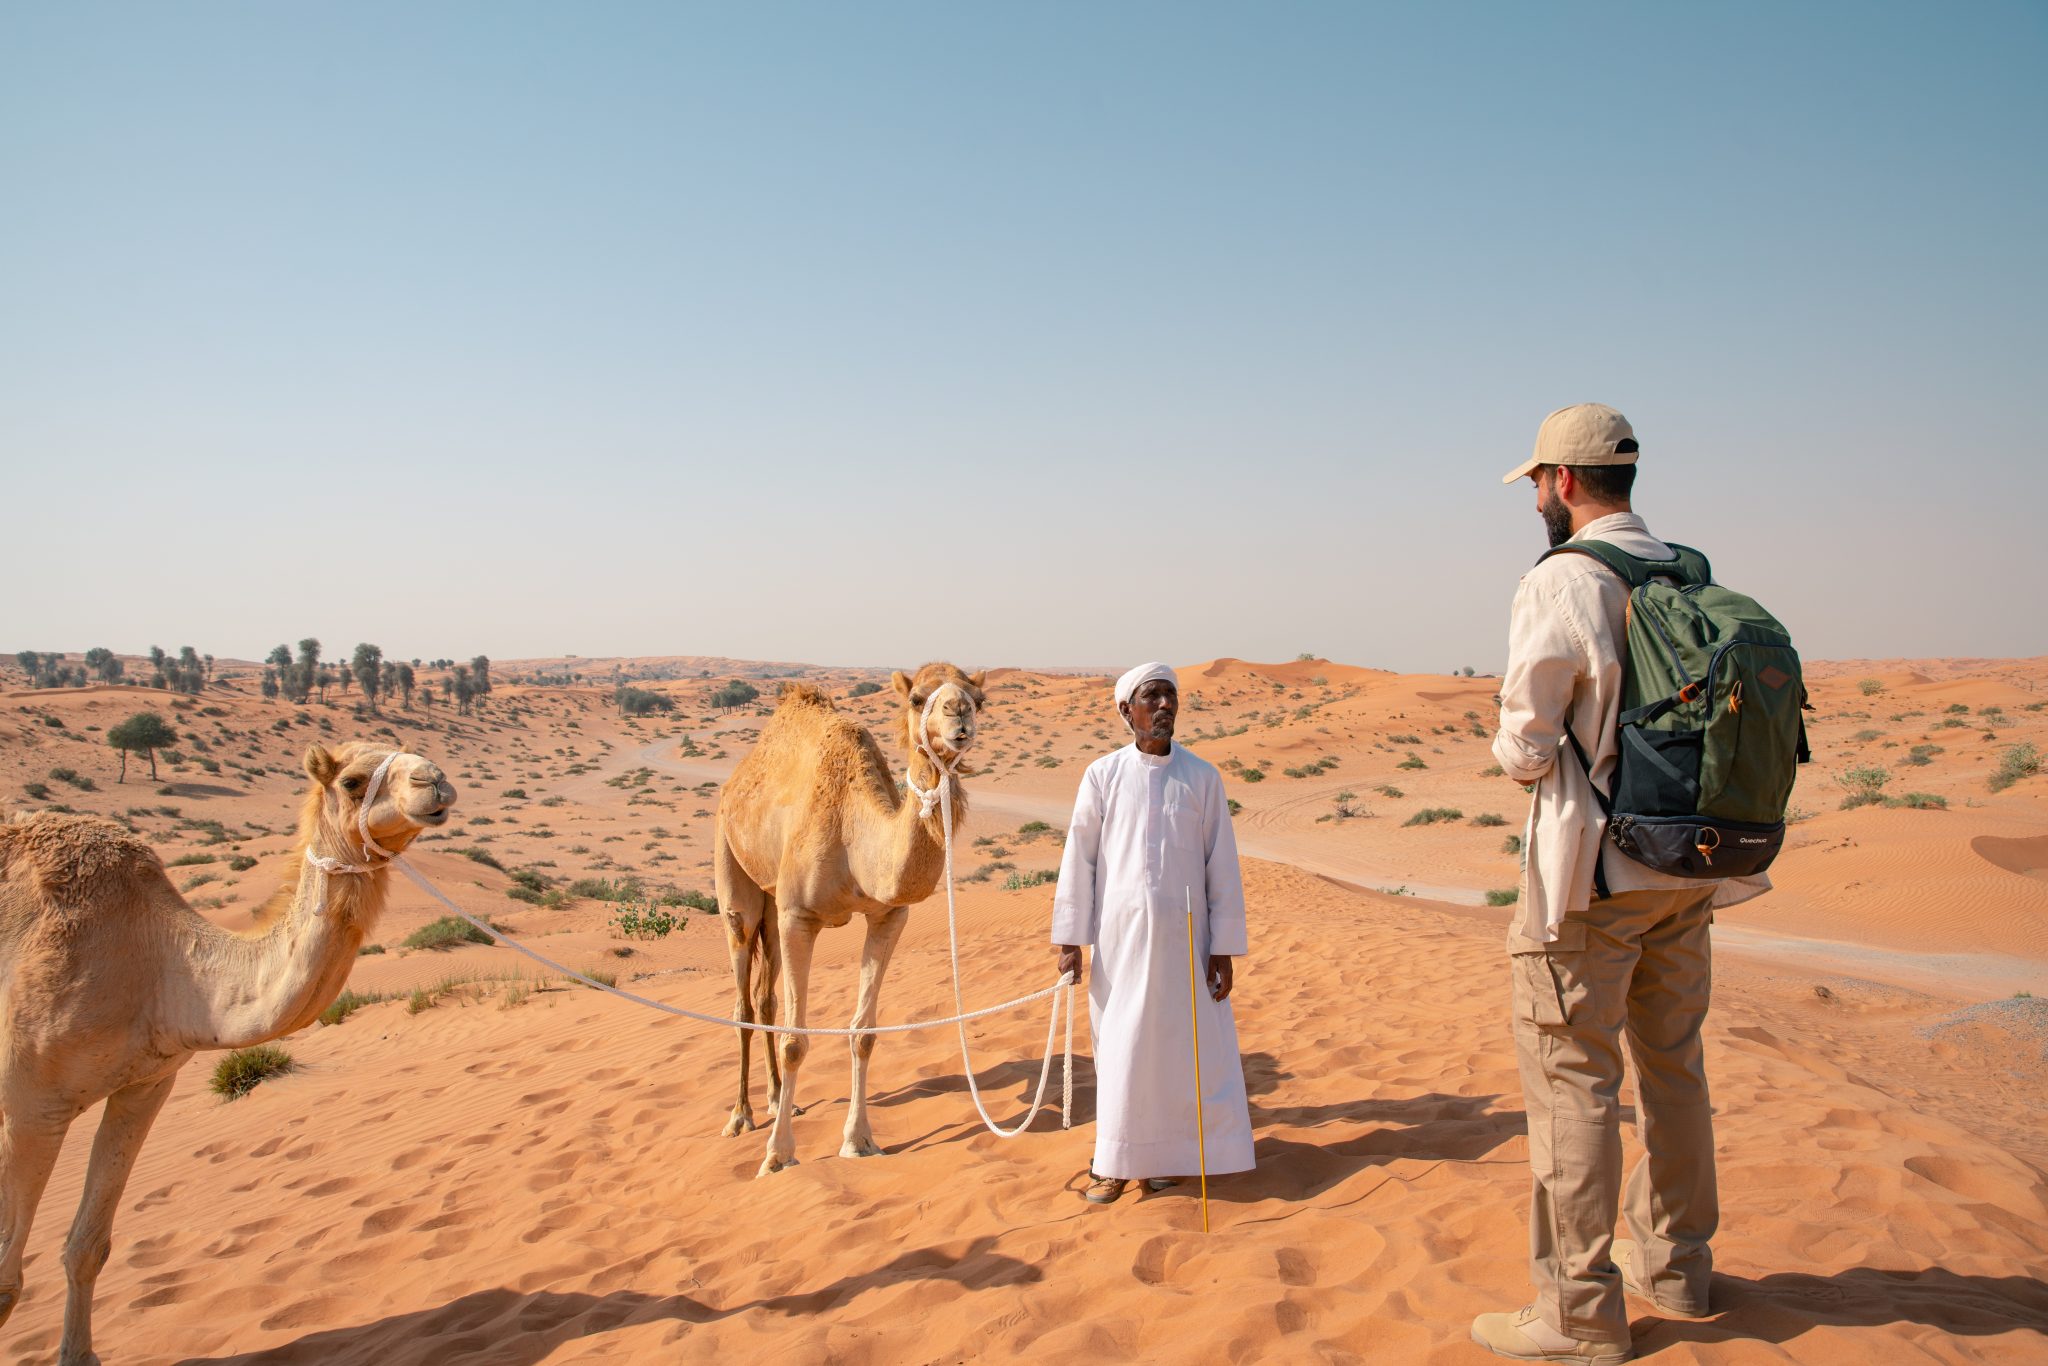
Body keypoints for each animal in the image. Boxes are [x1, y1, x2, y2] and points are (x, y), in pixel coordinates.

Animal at [1, 749, 456, 1366]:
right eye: (352, 781)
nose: (435, 780)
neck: (158, 965)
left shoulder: (145, 1085)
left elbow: (87, 1246)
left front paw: (79, 1356)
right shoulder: (31, 1105)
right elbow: (6, 1278)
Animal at [712, 663, 983, 1179]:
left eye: (980, 698)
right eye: (917, 698)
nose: (959, 713)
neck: (854, 839)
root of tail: (735, 780)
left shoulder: (889, 915)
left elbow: (864, 1033)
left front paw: (859, 1141)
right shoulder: (799, 916)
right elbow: (796, 1041)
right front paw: (778, 1155)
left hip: (772, 903)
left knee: (765, 998)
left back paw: (777, 1100)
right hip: (732, 869)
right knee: (742, 997)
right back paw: (741, 1116)